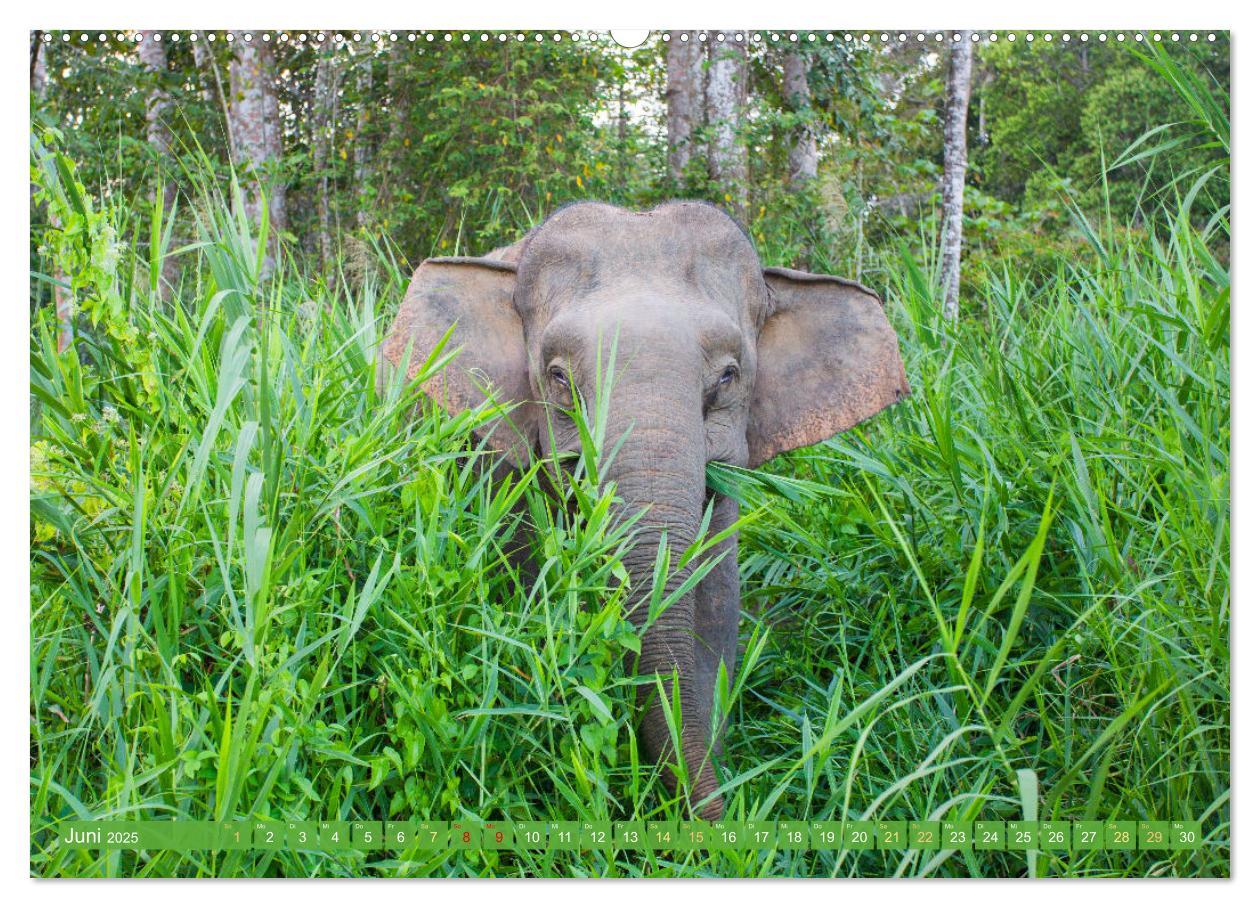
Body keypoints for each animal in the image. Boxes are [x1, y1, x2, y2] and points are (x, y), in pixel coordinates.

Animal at [378, 201, 912, 816]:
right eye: (557, 376)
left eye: (728, 376)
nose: (718, 824)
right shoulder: (496, 452)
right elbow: (527, 573)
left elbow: (716, 599)